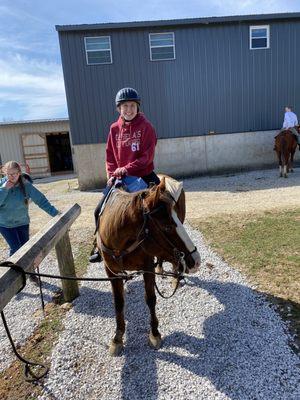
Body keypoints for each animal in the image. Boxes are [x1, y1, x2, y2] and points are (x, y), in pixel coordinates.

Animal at [97, 177, 200, 354]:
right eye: (167, 227)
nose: (196, 260)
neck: (122, 245)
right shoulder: (112, 272)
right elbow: (119, 302)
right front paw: (117, 338)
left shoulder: (147, 268)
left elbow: (151, 299)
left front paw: (155, 334)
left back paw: (175, 277)